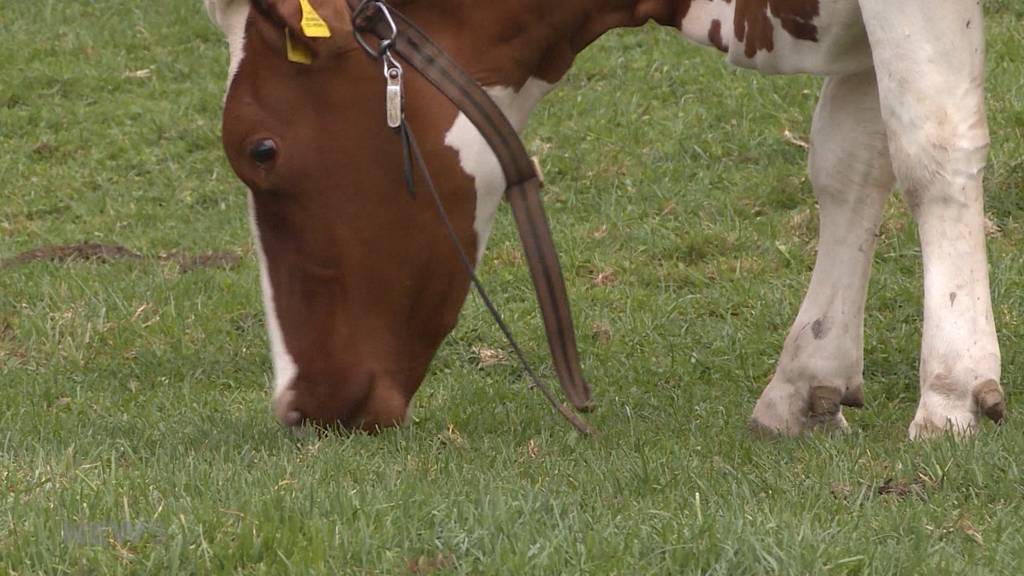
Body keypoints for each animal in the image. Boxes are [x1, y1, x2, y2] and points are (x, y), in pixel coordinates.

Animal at [203, 0, 1003, 436]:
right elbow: (850, 160)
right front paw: (809, 378)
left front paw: (953, 387)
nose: (299, 404)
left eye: (259, 149)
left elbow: (927, 144)